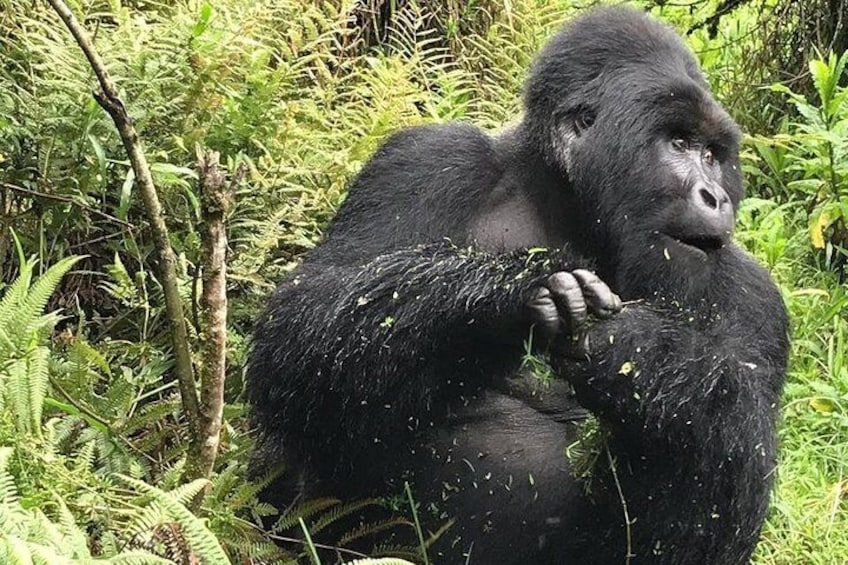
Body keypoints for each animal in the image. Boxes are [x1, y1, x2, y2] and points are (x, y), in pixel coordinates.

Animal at [248, 5, 792, 564]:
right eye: (678, 143)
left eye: (712, 154)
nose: (715, 196)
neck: (569, 206)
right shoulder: (428, 159)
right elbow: (307, 322)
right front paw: (509, 290)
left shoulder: (753, 293)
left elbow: (736, 451)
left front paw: (637, 352)